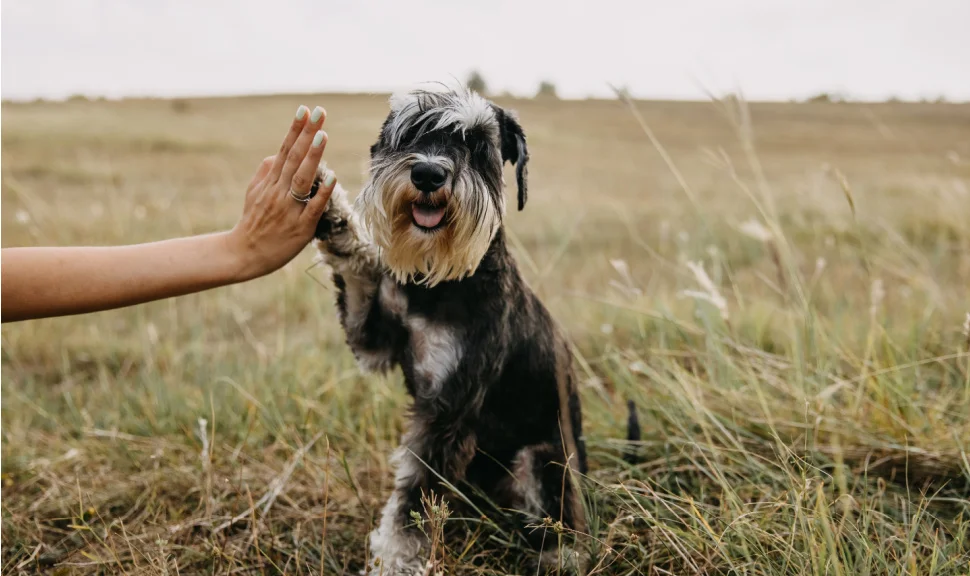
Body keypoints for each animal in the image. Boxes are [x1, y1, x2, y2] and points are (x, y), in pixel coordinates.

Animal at [312, 86, 588, 576]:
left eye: (477, 144)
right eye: (409, 133)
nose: (427, 173)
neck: (439, 282)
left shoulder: (449, 408)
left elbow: (415, 497)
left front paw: (397, 559)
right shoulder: (374, 339)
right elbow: (357, 268)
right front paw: (331, 212)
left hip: (540, 459)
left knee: (563, 521)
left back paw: (559, 555)